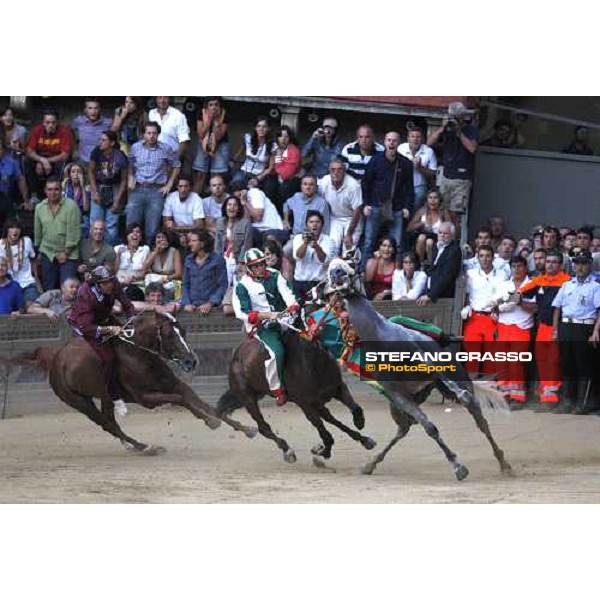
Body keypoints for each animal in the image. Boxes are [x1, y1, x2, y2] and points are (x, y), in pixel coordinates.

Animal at [20, 310, 255, 454]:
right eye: (169, 335)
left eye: (184, 331)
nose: (191, 361)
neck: (139, 355)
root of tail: (56, 356)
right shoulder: (146, 399)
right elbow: (181, 400)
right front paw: (210, 421)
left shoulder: (174, 384)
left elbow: (198, 400)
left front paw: (245, 428)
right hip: (78, 401)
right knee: (106, 425)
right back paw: (145, 447)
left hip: (105, 397)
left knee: (111, 421)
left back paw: (133, 445)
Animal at [214, 328, 376, 468]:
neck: (313, 360)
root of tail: (236, 356)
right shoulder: (305, 403)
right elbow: (322, 428)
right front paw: (324, 450)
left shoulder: (337, 389)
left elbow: (354, 408)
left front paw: (362, 431)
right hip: (248, 398)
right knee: (263, 427)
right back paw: (287, 450)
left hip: (257, 394)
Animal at [326, 255, 512, 480]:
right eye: (330, 269)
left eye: (351, 262)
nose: (336, 273)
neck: (380, 338)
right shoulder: (398, 395)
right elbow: (429, 427)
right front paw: (459, 467)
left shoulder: (425, 361)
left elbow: (442, 381)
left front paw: (459, 466)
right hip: (407, 401)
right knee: (404, 429)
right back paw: (370, 464)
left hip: (458, 378)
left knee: (479, 418)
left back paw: (504, 463)